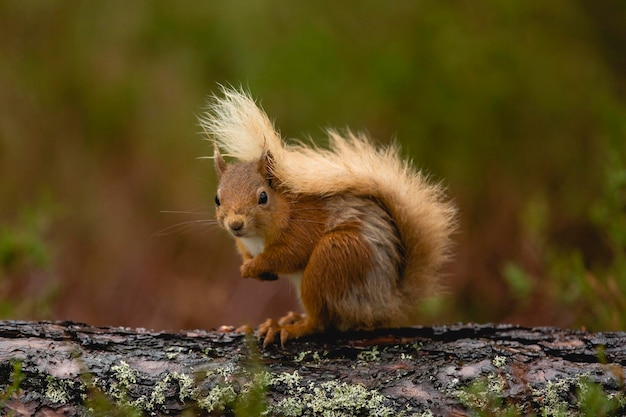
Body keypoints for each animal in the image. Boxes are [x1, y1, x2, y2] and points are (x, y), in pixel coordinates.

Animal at [202, 89, 456, 346]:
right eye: (217, 198)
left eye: (263, 197)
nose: (235, 224)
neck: (258, 235)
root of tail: (389, 302)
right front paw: (251, 267)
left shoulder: (303, 227)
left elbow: (289, 254)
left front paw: (252, 267)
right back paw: (293, 318)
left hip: (334, 257)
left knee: (321, 322)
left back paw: (291, 327)